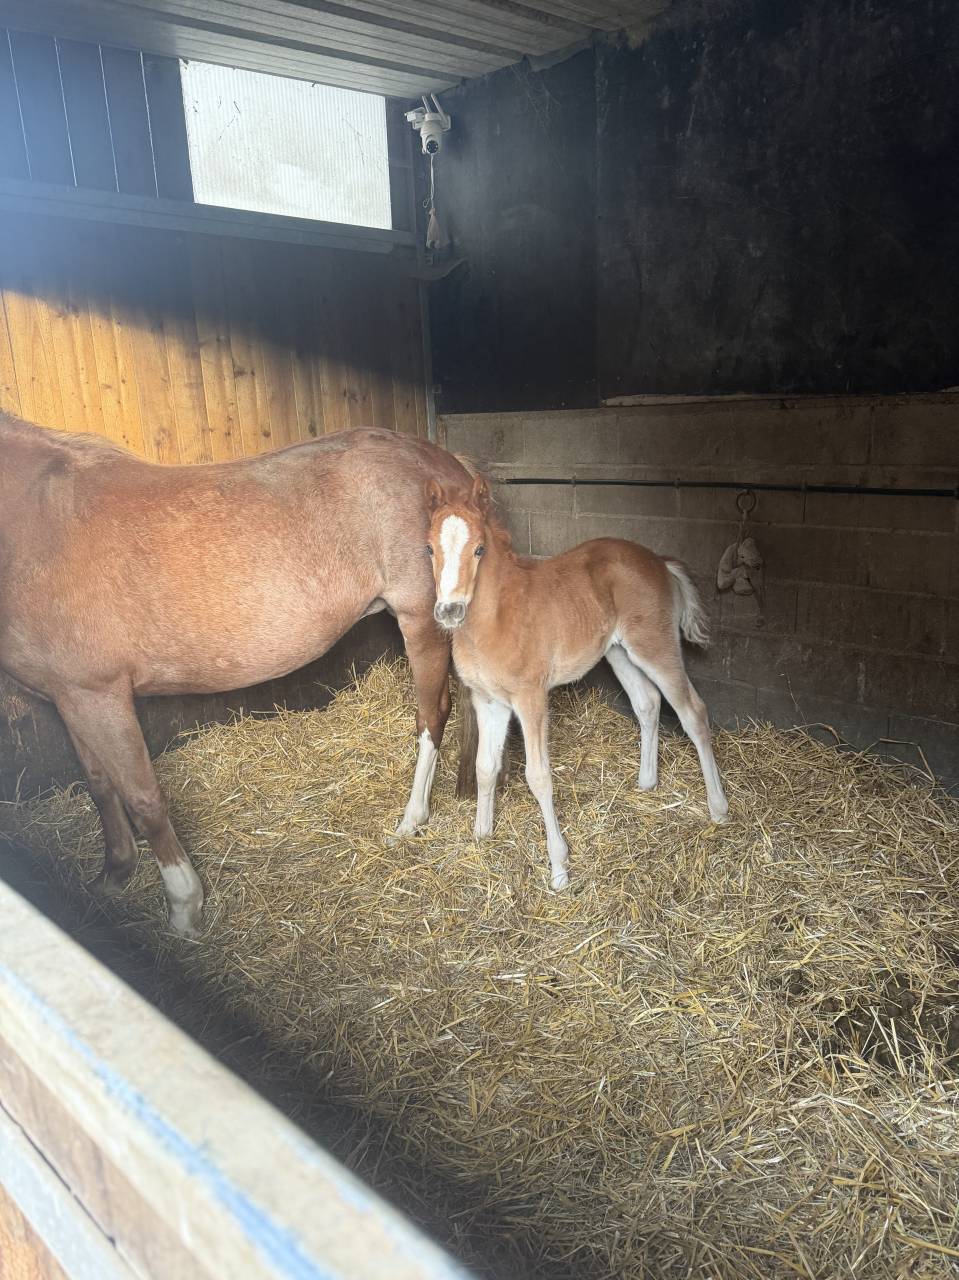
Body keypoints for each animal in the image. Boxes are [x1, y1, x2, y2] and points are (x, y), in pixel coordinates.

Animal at [0, 415, 476, 936]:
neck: (38, 519)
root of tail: (446, 463)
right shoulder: (69, 697)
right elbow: (100, 784)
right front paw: (114, 874)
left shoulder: (98, 694)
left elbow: (144, 799)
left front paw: (184, 907)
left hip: (423, 622)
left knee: (433, 716)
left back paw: (412, 820)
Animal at [425, 473, 729, 890]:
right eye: (428, 549)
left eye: (479, 550)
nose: (449, 611)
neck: (494, 619)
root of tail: (659, 562)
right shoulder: (488, 701)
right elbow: (485, 766)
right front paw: (482, 834)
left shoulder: (531, 699)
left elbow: (538, 776)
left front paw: (559, 868)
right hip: (618, 651)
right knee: (647, 702)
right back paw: (646, 782)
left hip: (654, 646)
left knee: (693, 712)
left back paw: (719, 808)